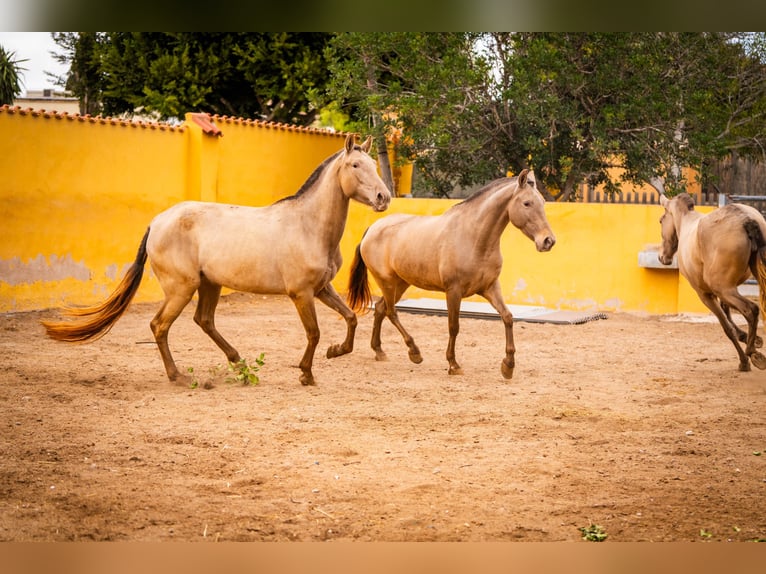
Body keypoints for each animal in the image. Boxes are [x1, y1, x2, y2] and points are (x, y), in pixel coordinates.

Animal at [42, 135, 392, 388]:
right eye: (356, 165)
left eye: (373, 164)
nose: (383, 197)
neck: (308, 226)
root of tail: (156, 222)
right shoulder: (301, 293)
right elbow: (314, 332)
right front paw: (306, 373)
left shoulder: (321, 288)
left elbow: (351, 318)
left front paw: (336, 352)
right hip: (182, 287)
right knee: (160, 325)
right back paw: (179, 376)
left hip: (209, 283)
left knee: (204, 320)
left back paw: (239, 363)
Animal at [350, 169, 560, 380]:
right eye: (527, 203)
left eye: (542, 202)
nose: (548, 241)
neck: (474, 238)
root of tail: (372, 229)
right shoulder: (453, 290)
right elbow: (454, 326)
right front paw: (453, 364)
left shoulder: (490, 287)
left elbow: (508, 317)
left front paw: (508, 365)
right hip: (387, 282)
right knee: (391, 312)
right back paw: (414, 352)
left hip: (401, 283)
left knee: (380, 308)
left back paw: (379, 351)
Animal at [660, 194, 766, 374]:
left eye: (661, 220)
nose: (662, 257)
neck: (686, 221)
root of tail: (747, 219)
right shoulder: (728, 288)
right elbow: (727, 311)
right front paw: (750, 338)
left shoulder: (706, 294)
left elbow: (727, 327)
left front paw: (744, 361)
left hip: (723, 289)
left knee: (751, 310)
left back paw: (752, 354)